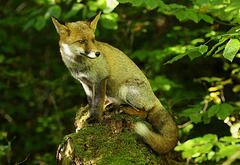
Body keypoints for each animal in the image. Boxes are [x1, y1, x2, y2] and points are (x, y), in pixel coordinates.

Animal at [52, 12, 178, 153]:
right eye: (81, 41)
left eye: (93, 40)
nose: (97, 53)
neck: (79, 65)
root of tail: (156, 100)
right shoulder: (85, 83)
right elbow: (91, 103)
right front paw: (89, 119)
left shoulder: (100, 78)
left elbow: (98, 102)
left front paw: (96, 119)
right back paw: (114, 106)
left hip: (126, 89)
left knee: (144, 113)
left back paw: (124, 109)